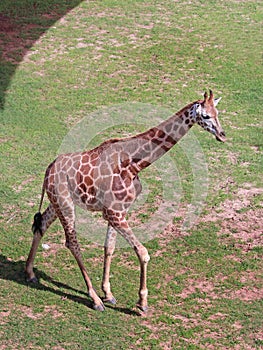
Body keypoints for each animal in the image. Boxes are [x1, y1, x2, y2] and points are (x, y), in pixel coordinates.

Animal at [25, 90, 227, 312]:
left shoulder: (118, 210)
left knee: (42, 224)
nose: (222, 135)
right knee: (72, 242)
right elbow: (143, 252)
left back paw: (30, 273)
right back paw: (94, 299)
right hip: (64, 203)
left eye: (218, 113)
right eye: (206, 116)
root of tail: (48, 170)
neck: (134, 164)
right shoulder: (113, 211)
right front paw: (142, 303)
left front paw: (109, 293)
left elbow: (109, 248)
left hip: (58, 201)